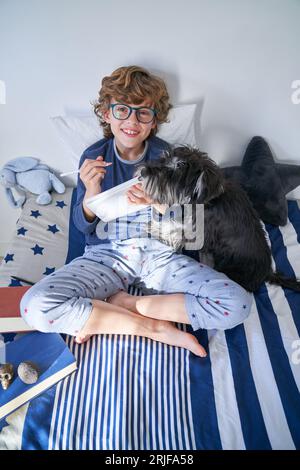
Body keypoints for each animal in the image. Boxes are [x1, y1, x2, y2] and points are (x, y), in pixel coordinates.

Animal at [135, 145, 300, 292]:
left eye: (179, 167)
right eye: (164, 157)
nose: (142, 172)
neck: (204, 200)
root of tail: (267, 273)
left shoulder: (198, 235)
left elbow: (176, 231)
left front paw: (159, 231)